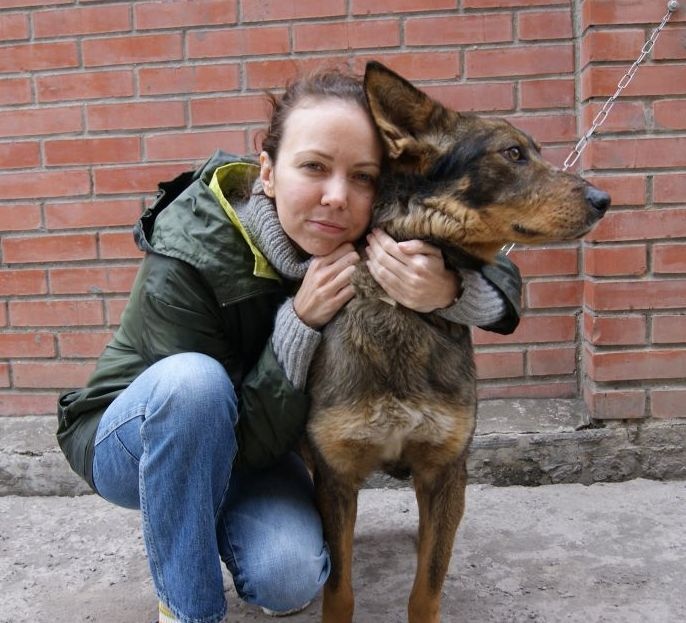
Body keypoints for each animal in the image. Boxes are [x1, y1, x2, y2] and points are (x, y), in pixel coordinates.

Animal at [305, 61, 610, 623]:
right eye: (513, 153)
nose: (605, 200)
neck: (401, 310)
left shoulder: (446, 472)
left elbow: (428, 584)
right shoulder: (335, 478)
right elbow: (340, 590)